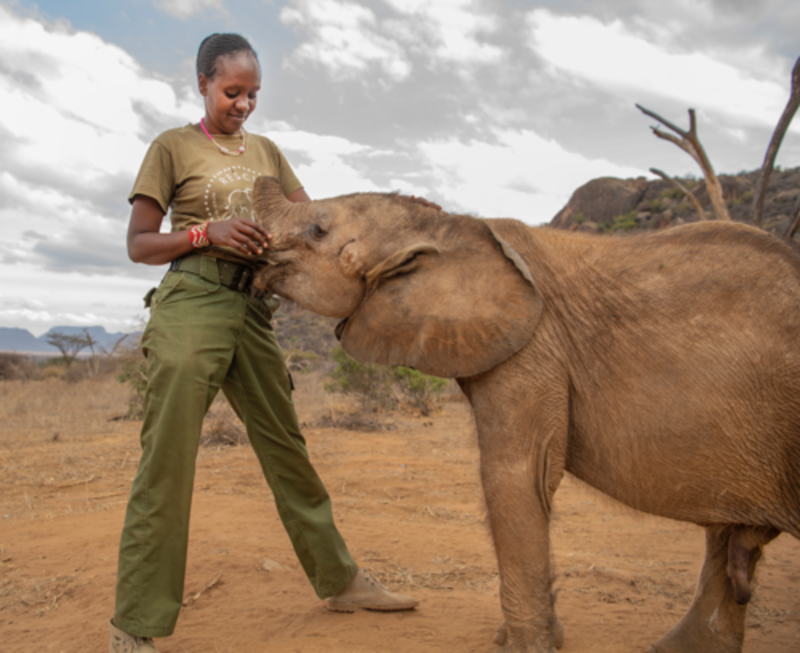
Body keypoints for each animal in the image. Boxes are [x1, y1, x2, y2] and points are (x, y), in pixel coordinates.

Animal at [250, 174, 800, 652]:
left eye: (317, 230)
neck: (445, 227)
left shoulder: (535, 345)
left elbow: (517, 476)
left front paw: (525, 647)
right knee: (725, 535)